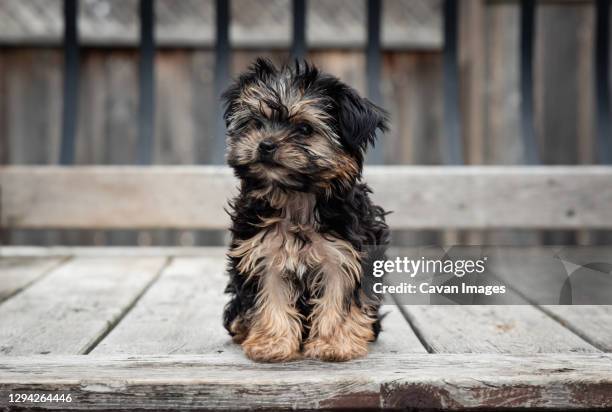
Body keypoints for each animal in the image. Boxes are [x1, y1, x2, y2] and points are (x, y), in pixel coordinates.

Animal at [222, 58, 390, 360]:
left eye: (304, 129)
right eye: (256, 123)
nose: (265, 144)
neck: (295, 197)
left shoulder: (344, 257)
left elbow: (339, 298)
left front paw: (333, 343)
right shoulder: (263, 254)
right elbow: (271, 296)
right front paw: (272, 343)